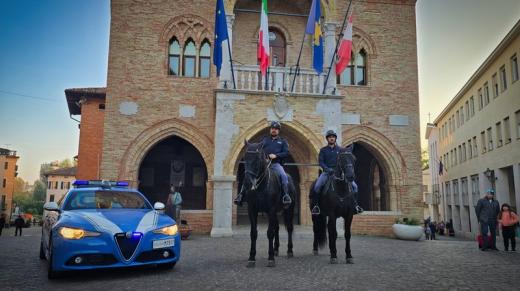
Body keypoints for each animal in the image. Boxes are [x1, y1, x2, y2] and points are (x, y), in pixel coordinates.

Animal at [242, 140, 294, 268]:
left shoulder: (271, 210)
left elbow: (270, 233)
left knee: (289, 228)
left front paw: (270, 259)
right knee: (277, 227)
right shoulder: (252, 210)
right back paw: (276, 249)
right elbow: (253, 233)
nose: (247, 182)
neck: (261, 186)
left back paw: (289, 251)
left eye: (256, 159)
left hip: (289, 209)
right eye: (245, 157)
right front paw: (251, 258)